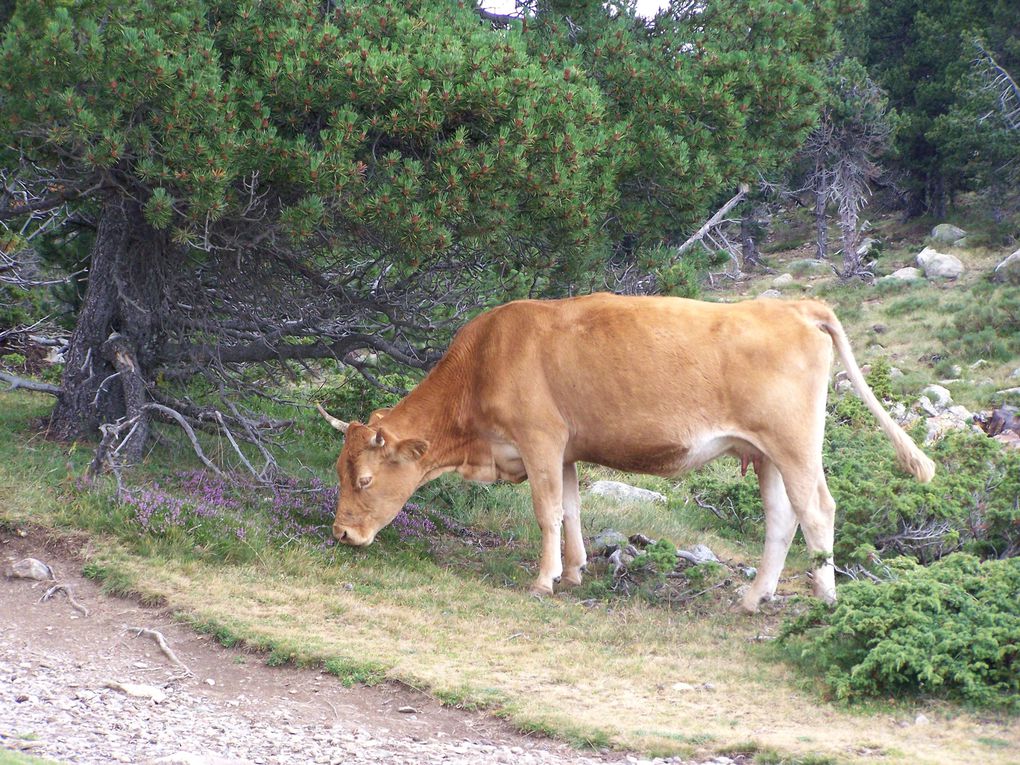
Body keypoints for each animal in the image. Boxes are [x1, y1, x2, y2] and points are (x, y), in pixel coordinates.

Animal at [316, 289, 934, 616]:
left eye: (364, 479)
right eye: (340, 470)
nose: (342, 533)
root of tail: (794, 306)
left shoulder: (540, 439)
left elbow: (546, 511)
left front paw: (543, 580)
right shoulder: (566, 450)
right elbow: (571, 509)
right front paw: (573, 572)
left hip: (794, 444)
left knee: (818, 510)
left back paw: (826, 596)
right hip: (766, 455)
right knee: (782, 518)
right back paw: (752, 596)